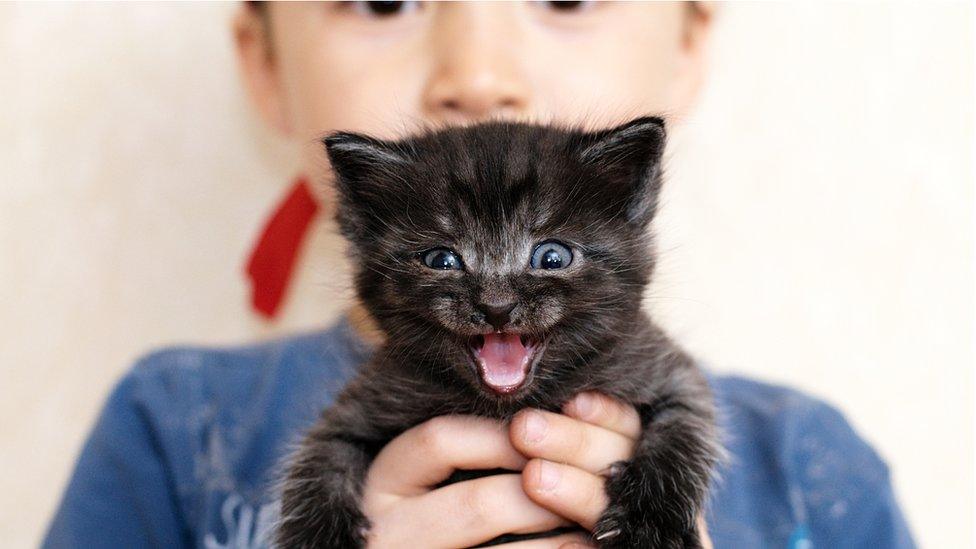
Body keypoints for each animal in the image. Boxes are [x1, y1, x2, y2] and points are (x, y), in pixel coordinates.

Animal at [278, 117, 720, 544]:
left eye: (552, 257)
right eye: (441, 260)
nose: (496, 306)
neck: (508, 407)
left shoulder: (663, 369)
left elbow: (683, 429)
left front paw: (648, 521)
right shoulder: (366, 400)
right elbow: (322, 455)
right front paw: (319, 535)